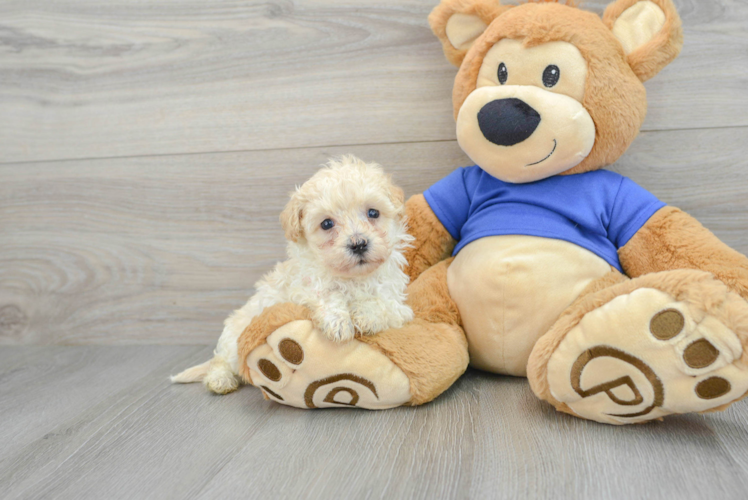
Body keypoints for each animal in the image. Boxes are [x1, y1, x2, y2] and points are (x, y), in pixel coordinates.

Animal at [170, 156, 414, 394]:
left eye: (373, 212)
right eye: (327, 224)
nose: (358, 244)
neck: (353, 278)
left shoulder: (397, 303)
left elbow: (384, 305)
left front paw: (365, 315)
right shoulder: (302, 287)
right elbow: (326, 294)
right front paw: (338, 323)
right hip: (234, 339)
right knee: (220, 361)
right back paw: (220, 380)